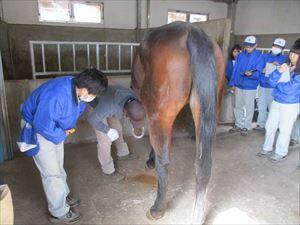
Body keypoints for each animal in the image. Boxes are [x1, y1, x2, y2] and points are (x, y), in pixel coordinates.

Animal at [131, 20, 225, 223]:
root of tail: (194, 33)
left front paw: (150, 159)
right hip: (206, 111)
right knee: (203, 165)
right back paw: (197, 215)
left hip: (159, 115)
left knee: (164, 161)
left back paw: (157, 208)